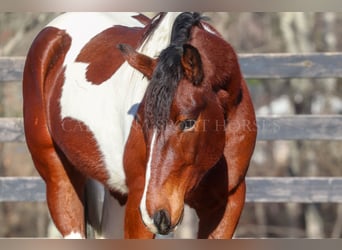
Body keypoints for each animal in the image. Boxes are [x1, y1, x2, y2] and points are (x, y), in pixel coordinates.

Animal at [22, 12, 256, 239]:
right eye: (142, 121)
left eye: (188, 122)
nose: (157, 215)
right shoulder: (138, 203)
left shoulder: (226, 204)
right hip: (60, 180)